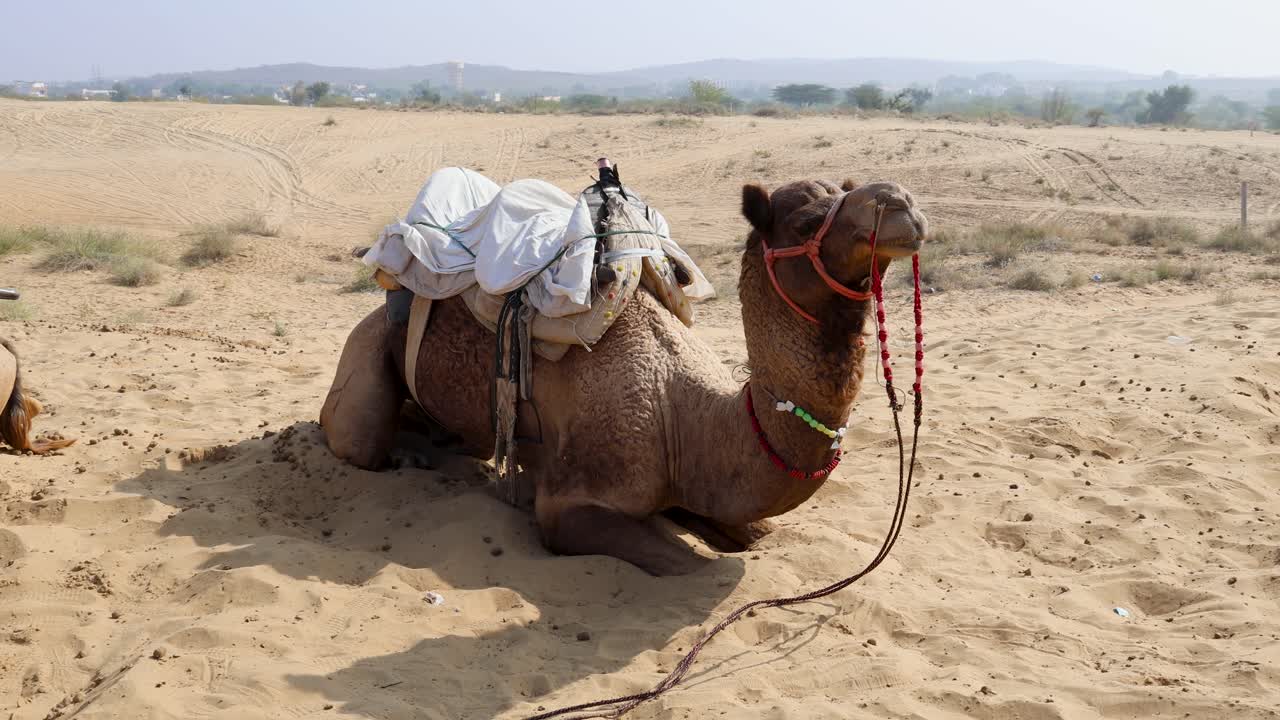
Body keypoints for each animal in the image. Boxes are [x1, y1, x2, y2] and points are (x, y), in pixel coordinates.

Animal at [320, 178, 927, 575]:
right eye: (805, 222)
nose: (900, 203)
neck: (691, 418)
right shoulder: (572, 506)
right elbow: (690, 568)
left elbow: (755, 532)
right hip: (365, 351)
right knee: (359, 439)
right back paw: (416, 457)